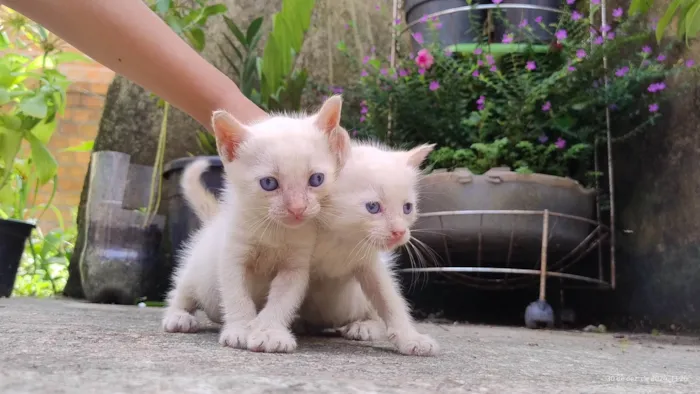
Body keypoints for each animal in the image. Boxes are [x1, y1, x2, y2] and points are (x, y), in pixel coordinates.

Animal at [163, 96, 350, 354]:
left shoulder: (295, 265)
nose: (297, 208)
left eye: (316, 179)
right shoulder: (232, 257)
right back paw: (178, 316)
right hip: (195, 268)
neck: (274, 231)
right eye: (269, 183)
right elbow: (236, 296)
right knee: (182, 290)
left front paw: (269, 330)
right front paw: (241, 329)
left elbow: (282, 300)